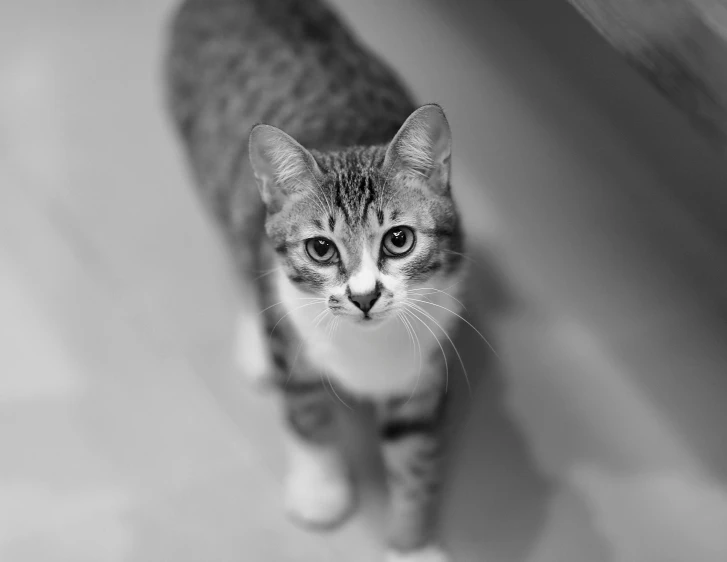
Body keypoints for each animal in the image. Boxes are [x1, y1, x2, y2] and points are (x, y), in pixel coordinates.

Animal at [165, 2, 470, 556]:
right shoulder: (293, 337)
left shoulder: (424, 361)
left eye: (399, 240)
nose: (365, 296)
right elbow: (307, 413)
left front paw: (411, 545)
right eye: (321, 249)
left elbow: (415, 455)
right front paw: (320, 490)